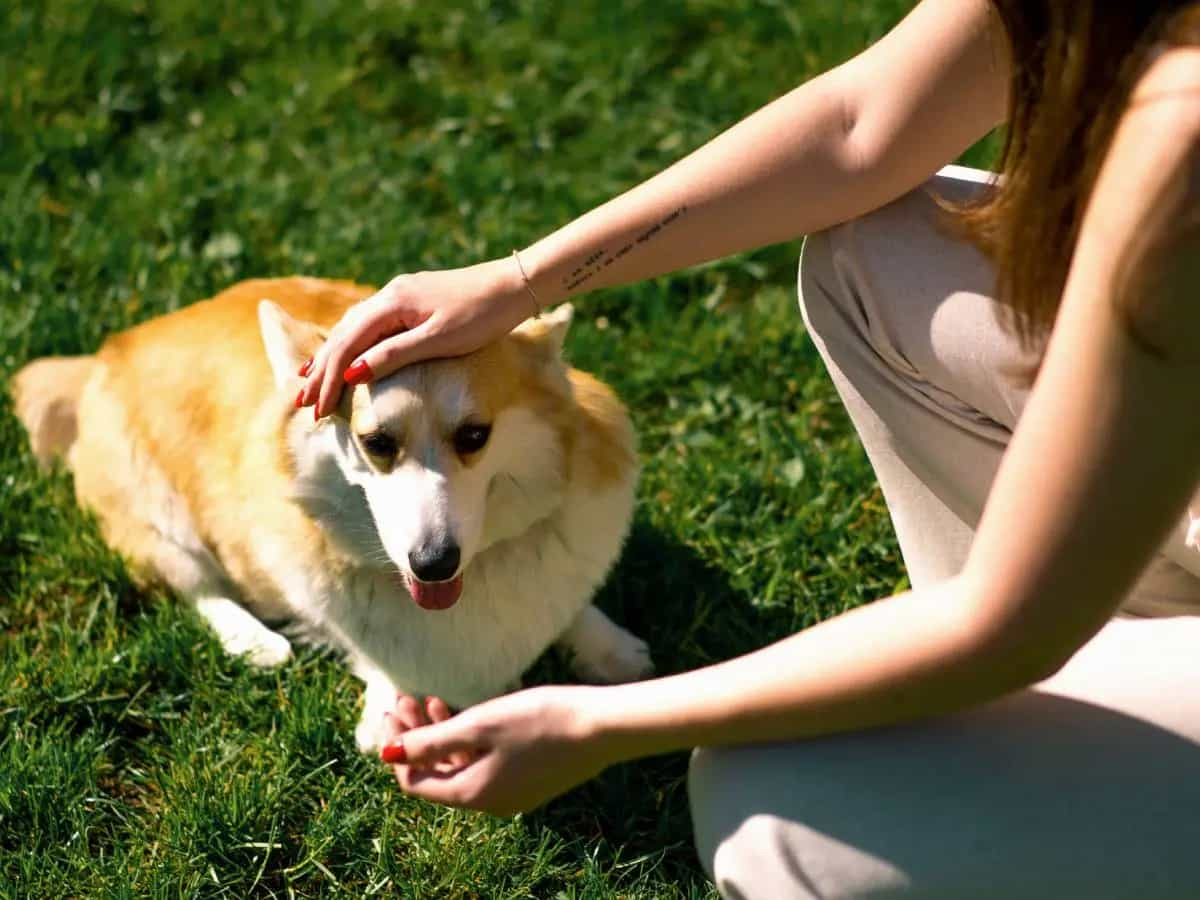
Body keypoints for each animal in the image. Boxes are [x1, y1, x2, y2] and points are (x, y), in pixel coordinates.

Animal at [11, 278, 648, 748]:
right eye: (376, 443)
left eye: (475, 435)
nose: (433, 564)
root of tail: (109, 351)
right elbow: (370, 649)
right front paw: (389, 710)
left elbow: (571, 605)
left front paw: (612, 650)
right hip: (157, 520)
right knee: (195, 584)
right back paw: (255, 640)